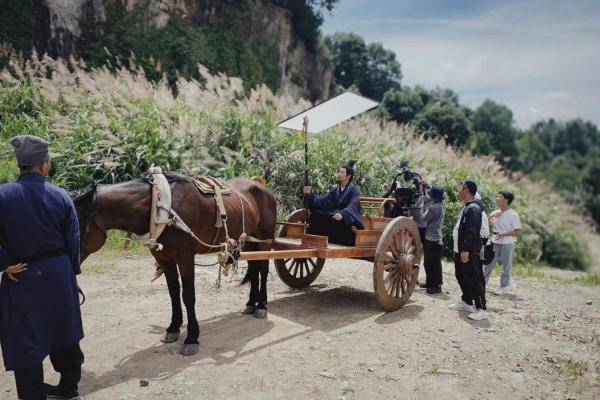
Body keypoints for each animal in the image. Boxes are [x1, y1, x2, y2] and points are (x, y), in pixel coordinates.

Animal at [72, 173, 276, 354]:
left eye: (74, 225)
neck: (160, 208)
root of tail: (264, 188)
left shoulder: (185, 256)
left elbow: (188, 296)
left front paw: (192, 338)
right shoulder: (164, 258)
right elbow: (173, 294)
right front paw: (173, 328)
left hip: (265, 238)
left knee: (263, 269)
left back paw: (261, 306)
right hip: (248, 239)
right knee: (255, 268)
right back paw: (251, 304)